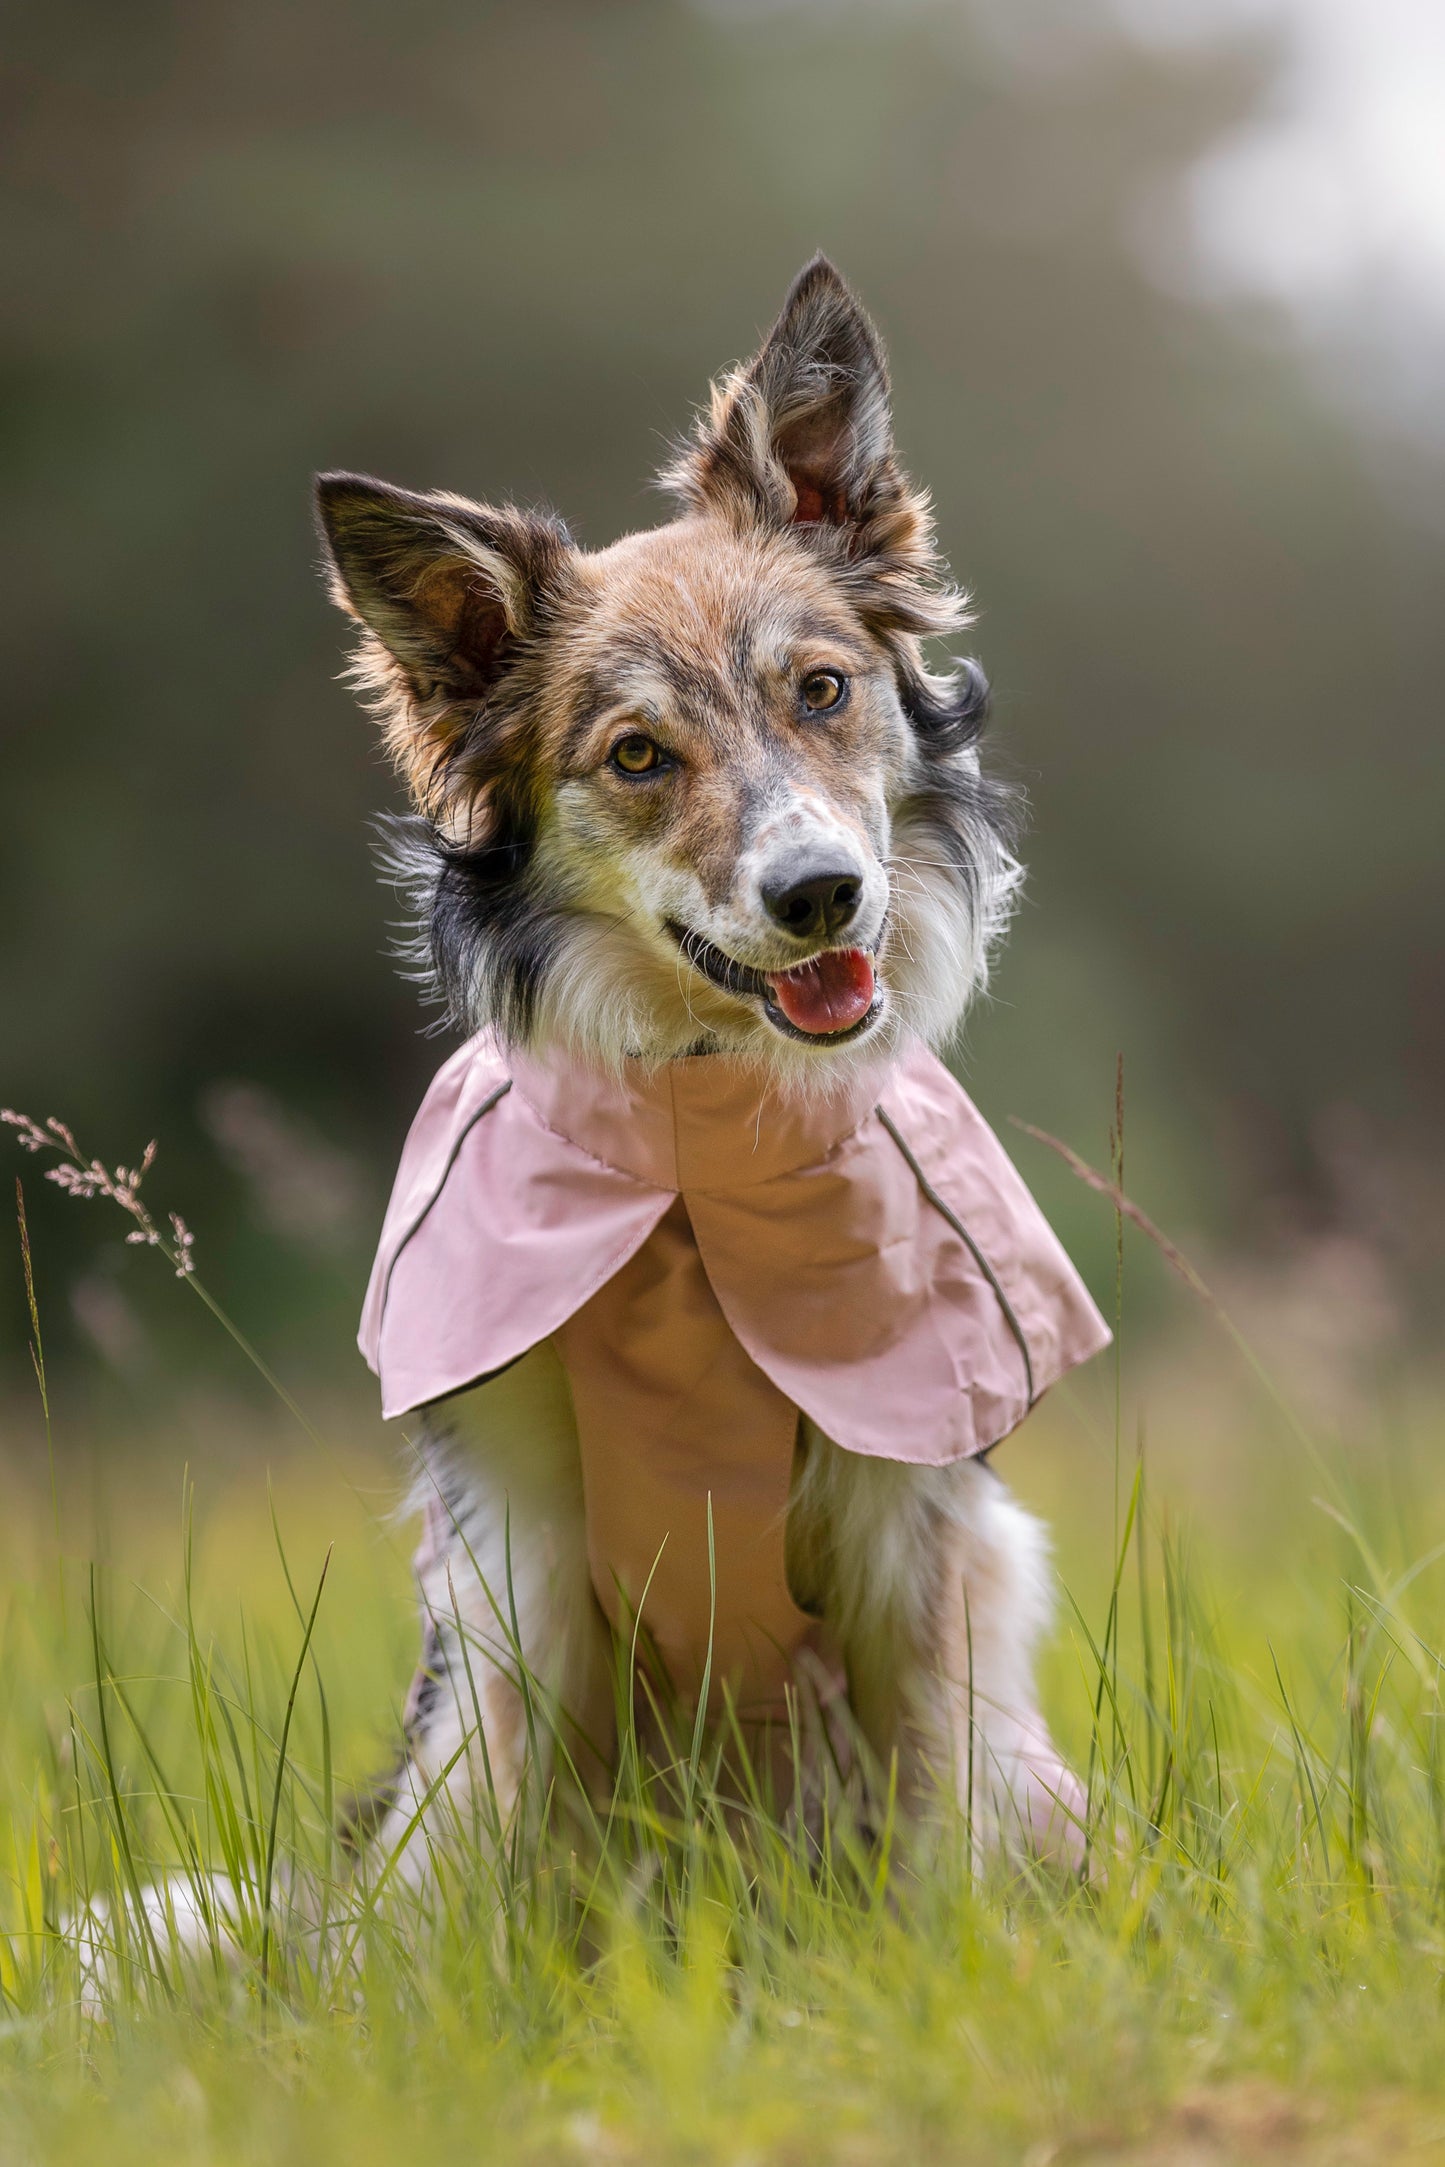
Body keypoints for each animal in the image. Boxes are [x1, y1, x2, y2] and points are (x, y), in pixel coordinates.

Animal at [316, 253, 1109, 1889]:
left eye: (820, 688)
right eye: (635, 755)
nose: (820, 895)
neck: (696, 1139)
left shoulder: (909, 1523)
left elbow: (940, 1802)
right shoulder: (515, 1556)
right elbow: (484, 1830)